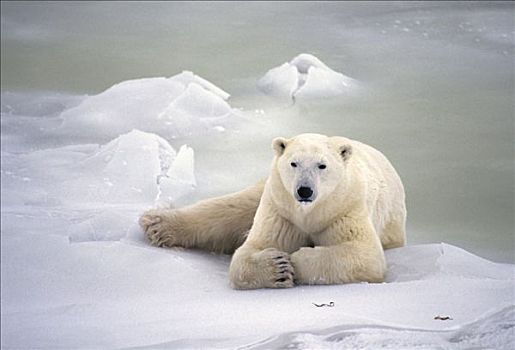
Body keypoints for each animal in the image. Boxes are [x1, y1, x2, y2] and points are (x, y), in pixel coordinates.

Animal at [139, 134, 406, 290]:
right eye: (293, 163)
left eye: (322, 165)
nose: (304, 190)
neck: (310, 212)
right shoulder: (281, 211)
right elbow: (248, 252)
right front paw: (279, 267)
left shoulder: (345, 208)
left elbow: (365, 254)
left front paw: (297, 259)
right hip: (269, 188)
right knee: (233, 206)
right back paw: (156, 224)